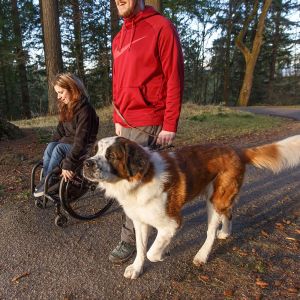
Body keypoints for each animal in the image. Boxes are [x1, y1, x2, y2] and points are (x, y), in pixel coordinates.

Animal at [83, 136, 300, 278]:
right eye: (94, 152)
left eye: (111, 155)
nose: (86, 163)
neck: (140, 179)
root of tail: (236, 150)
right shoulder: (140, 221)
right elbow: (141, 247)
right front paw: (137, 268)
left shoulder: (172, 223)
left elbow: (152, 252)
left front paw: (163, 253)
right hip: (220, 199)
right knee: (228, 212)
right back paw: (225, 232)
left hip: (214, 201)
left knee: (211, 232)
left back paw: (202, 255)